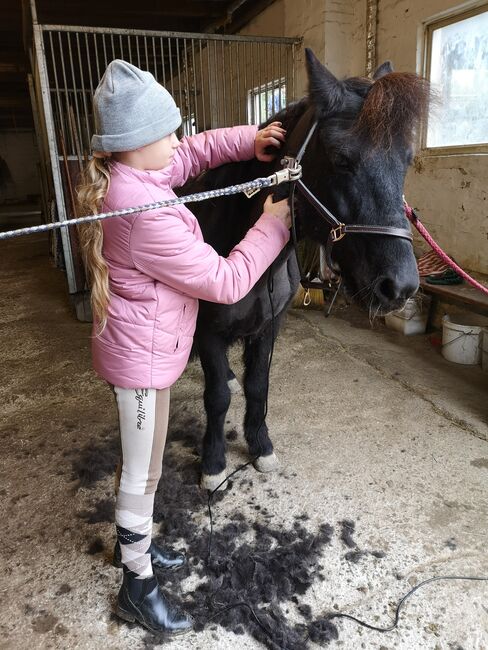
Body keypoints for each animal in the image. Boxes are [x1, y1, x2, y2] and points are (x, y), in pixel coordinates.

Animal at [191, 48, 428, 488]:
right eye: (341, 159)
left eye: (407, 161)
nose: (400, 287)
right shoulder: (209, 331)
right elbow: (216, 398)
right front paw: (213, 465)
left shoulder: (268, 327)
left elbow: (257, 386)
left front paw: (261, 445)